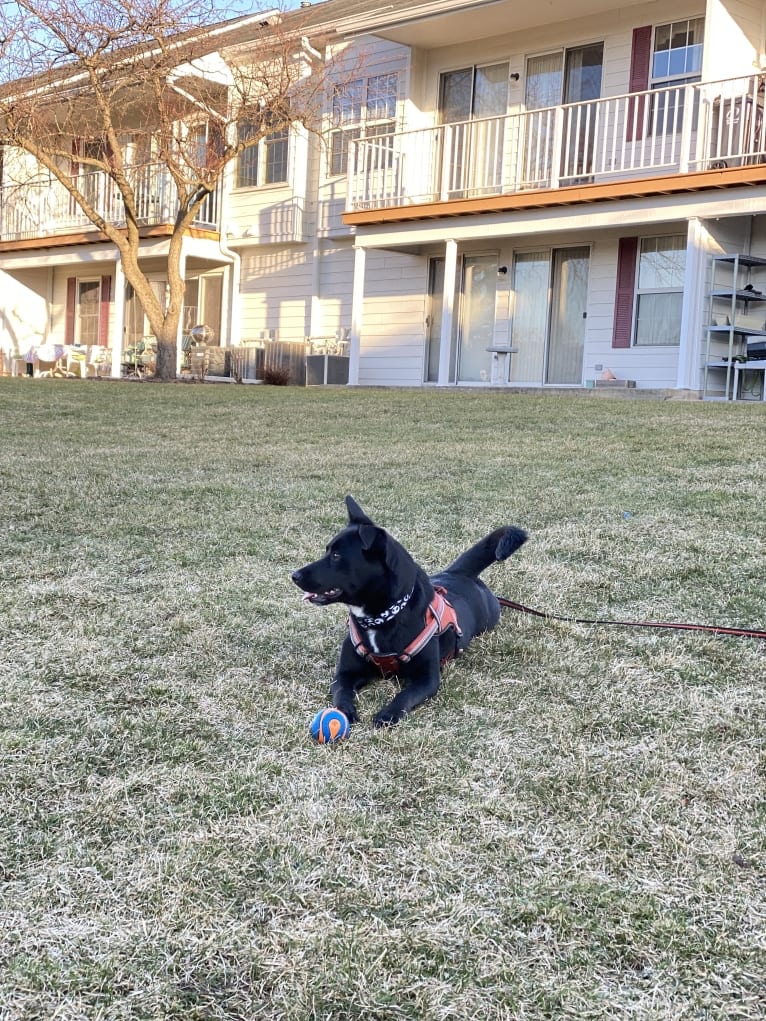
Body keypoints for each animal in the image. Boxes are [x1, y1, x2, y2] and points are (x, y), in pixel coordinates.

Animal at [294, 498, 527, 731]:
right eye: (327, 551)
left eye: (336, 556)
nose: (294, 575)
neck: (381, 617)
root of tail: (458, 572)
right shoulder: (345, 673)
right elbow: (341, 691)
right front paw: (344, 710)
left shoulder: (426, 679)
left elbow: (404, 696)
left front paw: (388, 714)